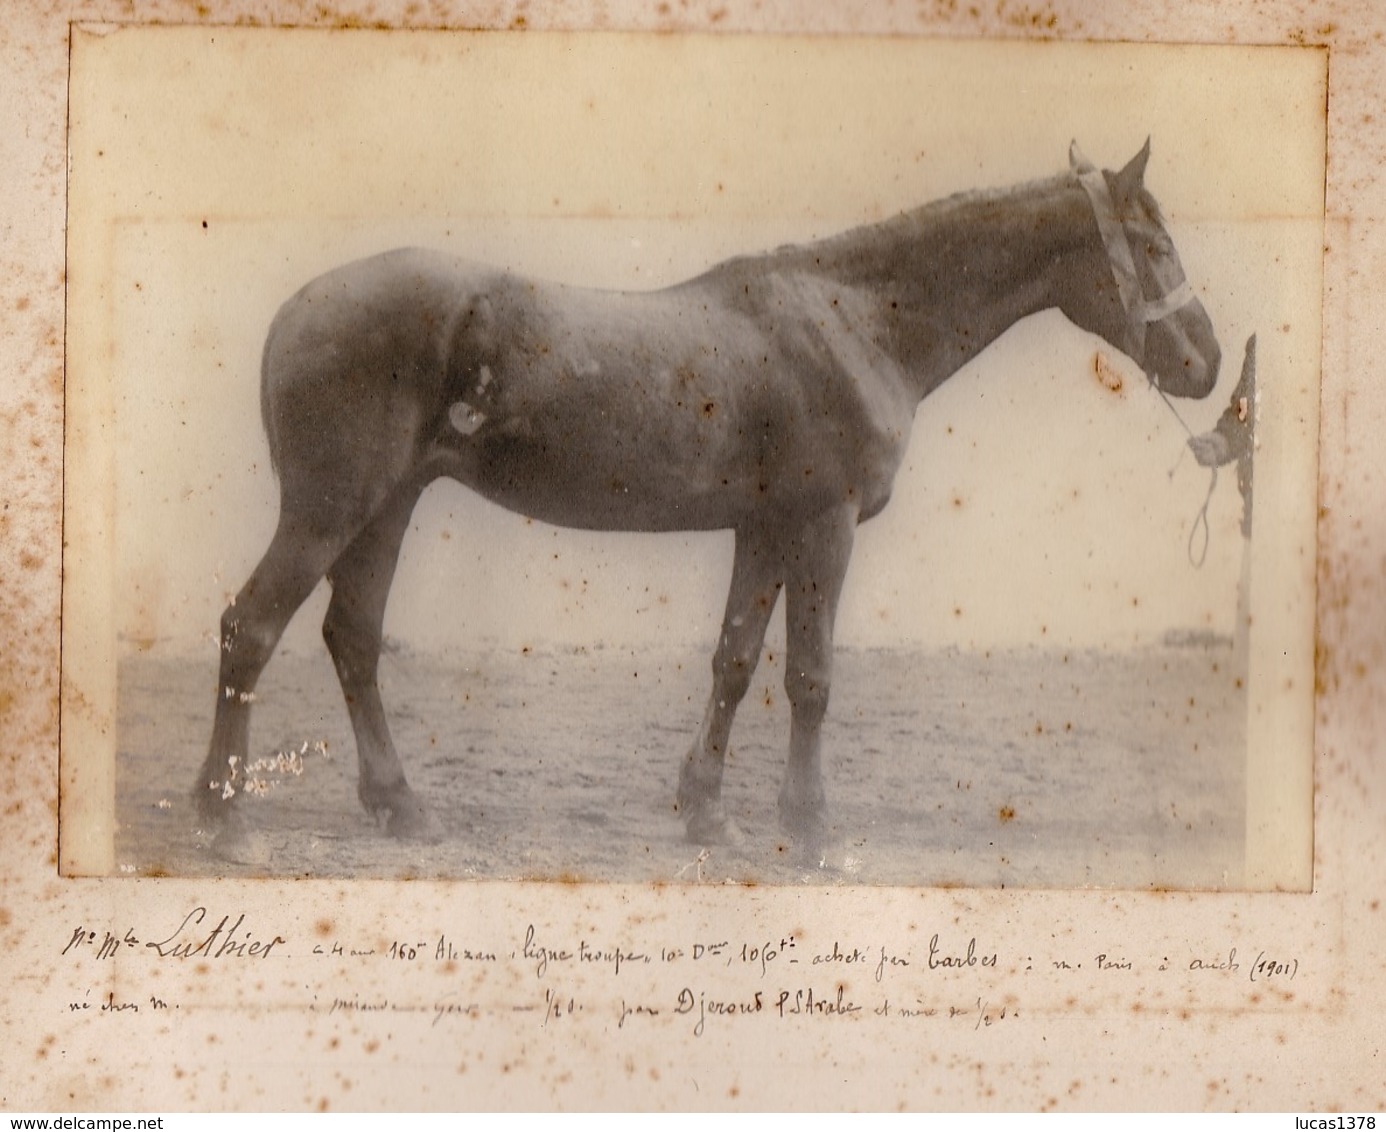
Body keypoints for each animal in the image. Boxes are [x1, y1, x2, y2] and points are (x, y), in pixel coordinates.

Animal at [198, 141, 1225, 859]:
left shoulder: (764, 530)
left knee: (353, 641)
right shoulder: (824, 527)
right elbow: (809, 677)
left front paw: (706, 813)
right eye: (1152, 245)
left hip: (388, 507)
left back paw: (401, 807)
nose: (1207, 363)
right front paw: (808, 826)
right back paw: (225, 819)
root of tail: (295, 310)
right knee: (251, 628)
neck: (855, 322)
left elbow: (733, 663)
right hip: (330, 511)